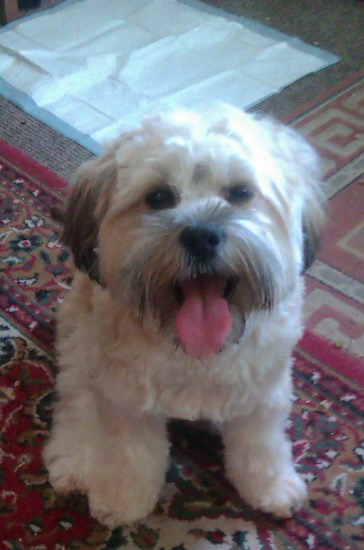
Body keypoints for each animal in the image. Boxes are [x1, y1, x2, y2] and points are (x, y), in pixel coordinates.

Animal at [42, 103, 324, 532]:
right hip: (80, 342)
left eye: (240, 192)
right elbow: (130, 452)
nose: (201, 235)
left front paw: (270, 487)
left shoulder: (265, 389)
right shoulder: (125, 395)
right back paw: (75, 460)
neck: (196, 351)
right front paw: (123, 499)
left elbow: (261, 445)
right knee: (77, 401)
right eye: (159, 196)